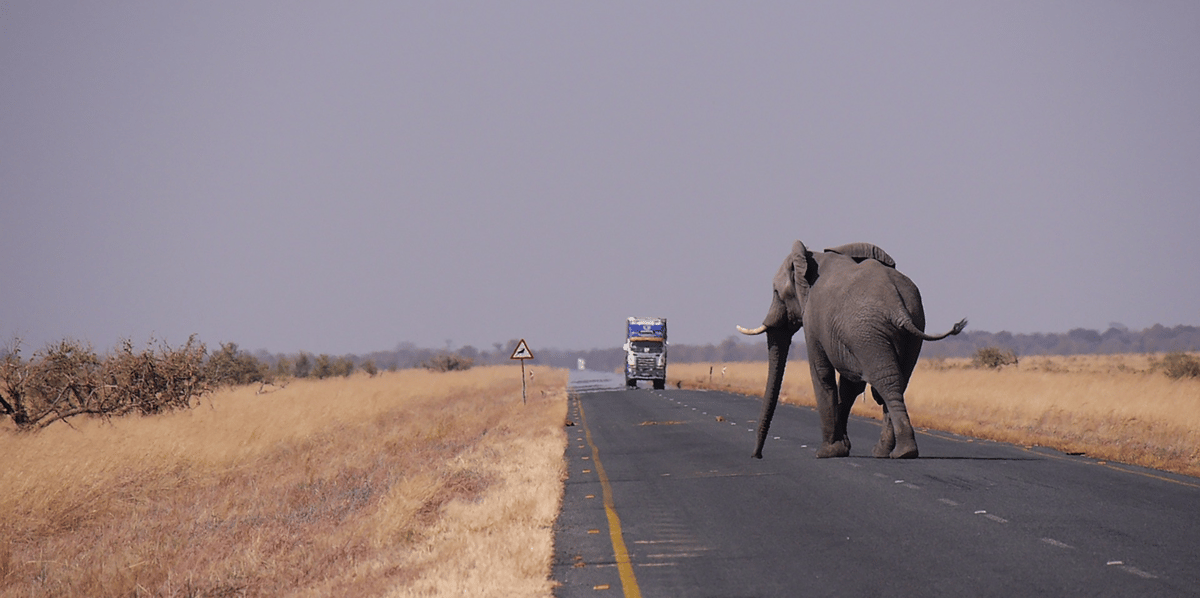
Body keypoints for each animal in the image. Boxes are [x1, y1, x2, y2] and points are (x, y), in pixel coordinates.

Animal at [737, 241, 967, 460]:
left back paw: (901, 452)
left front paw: (827, 452)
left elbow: (822, 374)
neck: (810, 258)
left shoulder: (813, 320)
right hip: (908, 325)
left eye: (776, 293)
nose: (757, 455)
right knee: (897, 382)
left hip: (867, 332)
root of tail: (898, 307)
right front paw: (842, 447)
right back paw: (888, 452)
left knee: (885, 382)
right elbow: (850, 387)